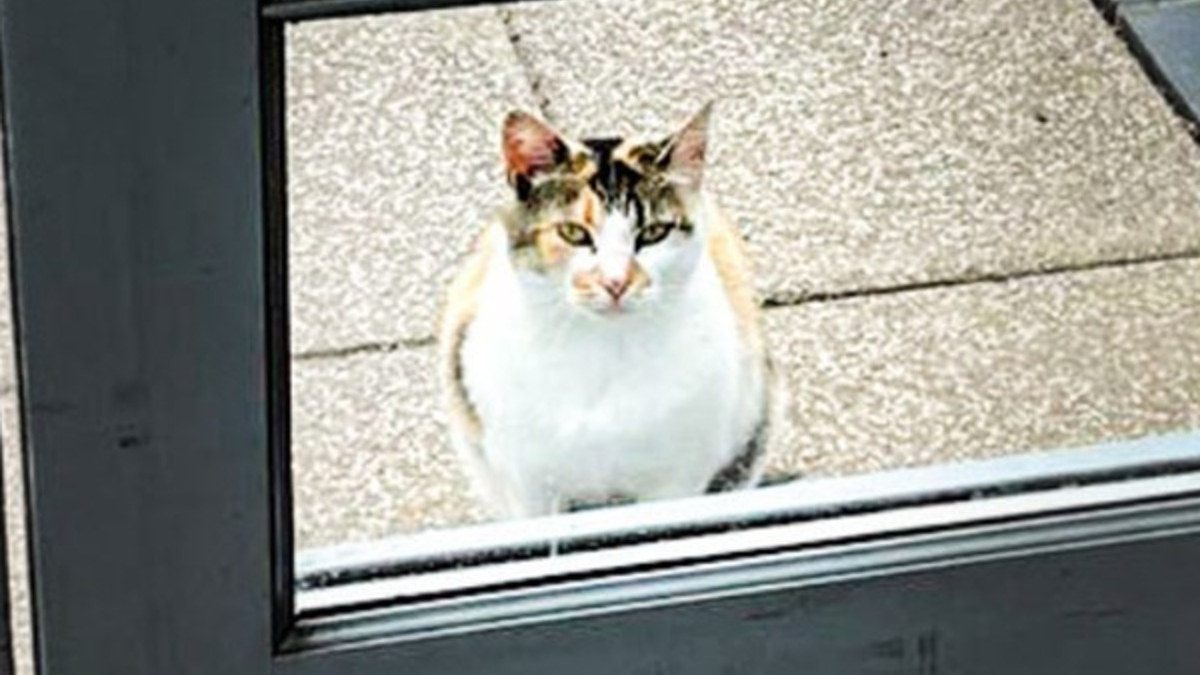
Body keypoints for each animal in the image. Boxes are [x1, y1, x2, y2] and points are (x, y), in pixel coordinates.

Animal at [439, 103, 777, 514]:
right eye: (573, 233)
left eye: (654, 233)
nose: (615, 282)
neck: (602, 350)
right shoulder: (528, 483)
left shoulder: (677, 479)